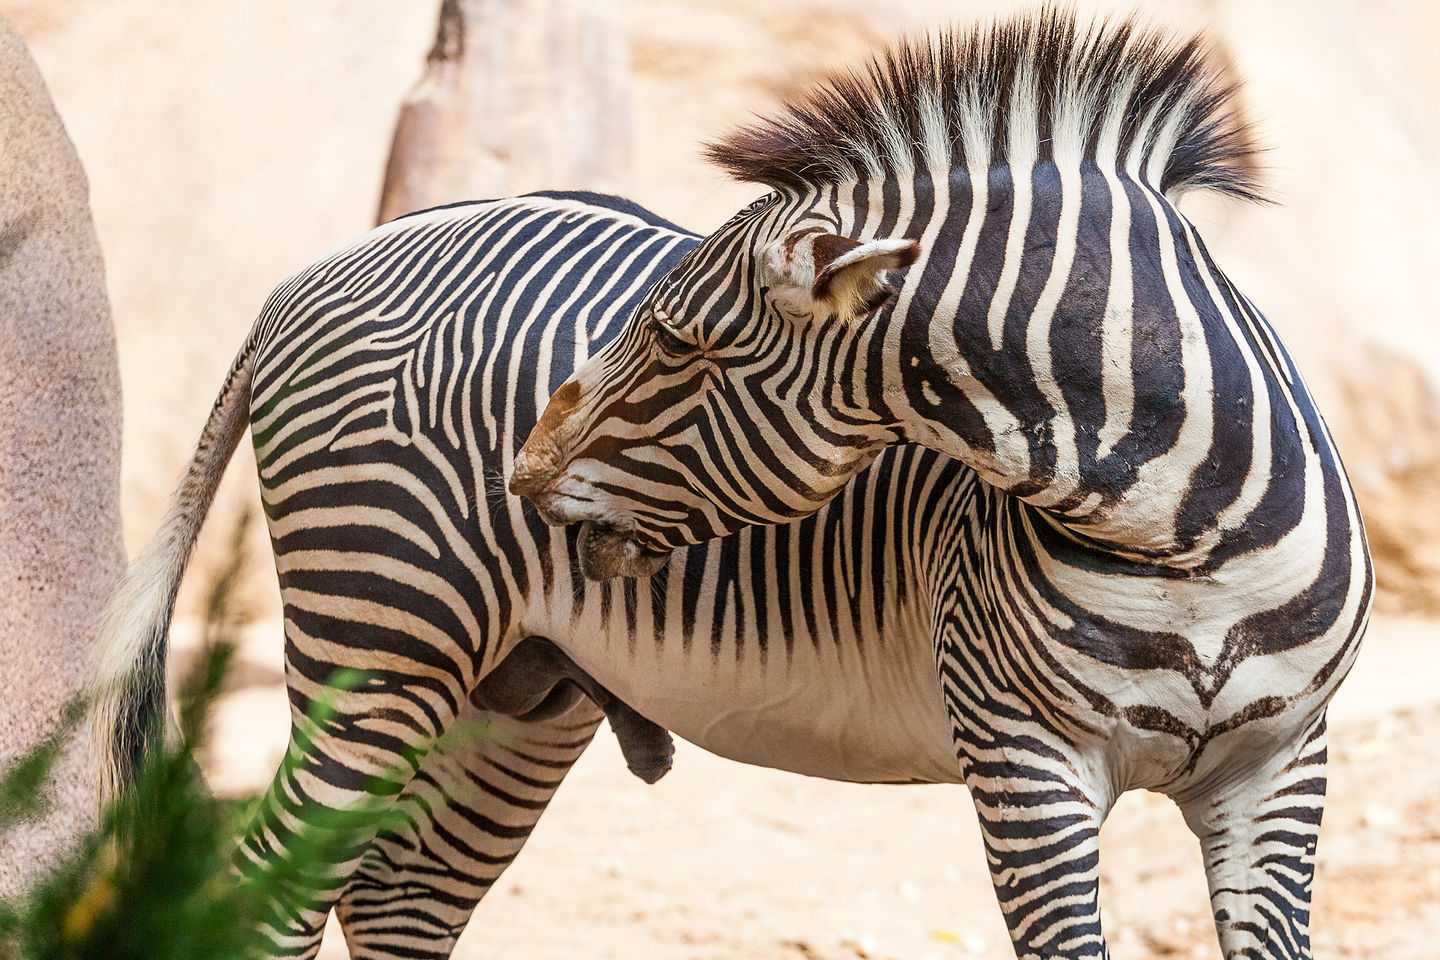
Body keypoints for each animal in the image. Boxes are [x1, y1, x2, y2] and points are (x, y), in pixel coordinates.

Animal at [89, 190, 983, 958]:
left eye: (671, 343)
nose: (531, 476)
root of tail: (323, 264)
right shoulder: (999, 708)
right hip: (380, 628)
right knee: (277, 892)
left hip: (519, 697)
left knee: (402, 898)